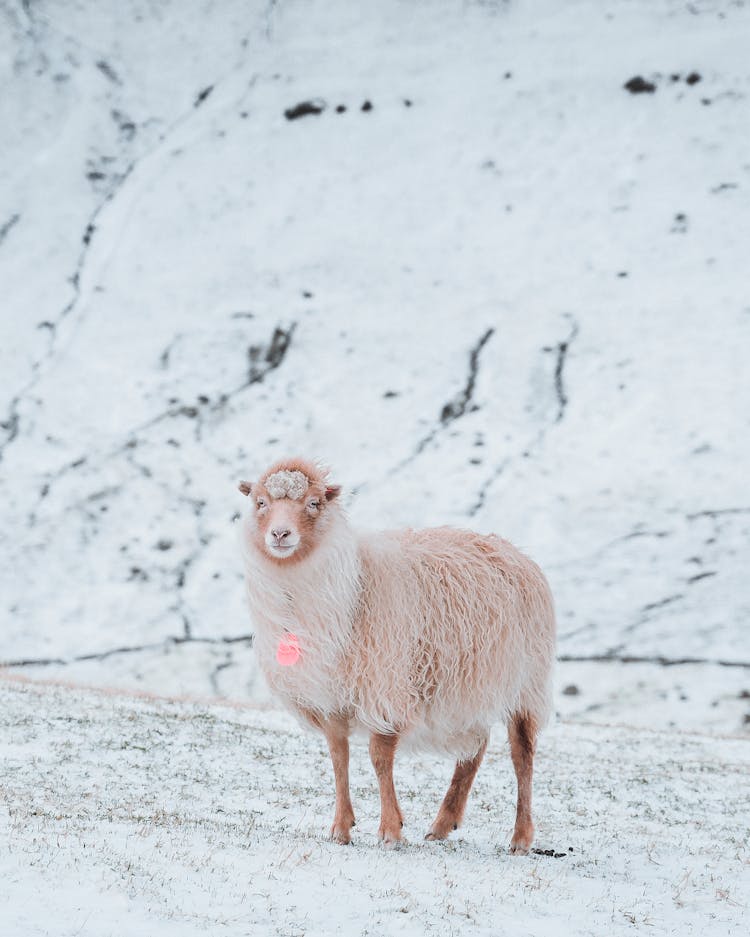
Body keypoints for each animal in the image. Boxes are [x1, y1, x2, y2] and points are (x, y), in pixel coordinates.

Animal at [241, 458, 560, 852]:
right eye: (260, 502)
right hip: (469, 683)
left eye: (314, 503)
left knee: (522, 754)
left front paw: (390, 830)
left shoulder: (385, 685)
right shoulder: (329, 697)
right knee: (477, 747)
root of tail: (514, 551)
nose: (280, 534)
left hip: (527, 681)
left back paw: (520, 837)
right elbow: (338, 757)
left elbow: (379, 758)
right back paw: (443, 824)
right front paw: (341, 828)